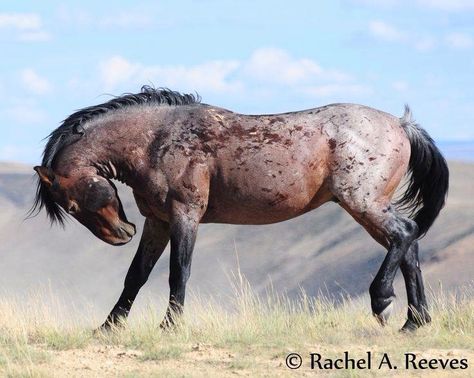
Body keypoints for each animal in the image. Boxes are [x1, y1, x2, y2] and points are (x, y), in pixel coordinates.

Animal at [32, 85, 448, 330]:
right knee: (408, 245)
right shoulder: (158, 222)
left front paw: (170, 326)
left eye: (72, 203)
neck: (156, 140)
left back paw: (383, 302)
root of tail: (402, 125)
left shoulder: (185, 216)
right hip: (370, 208)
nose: (121, 234)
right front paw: (108, 327)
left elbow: (178, 273)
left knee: (405, 235)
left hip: (363, 203)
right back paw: (415, 321)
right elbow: (136, 275)